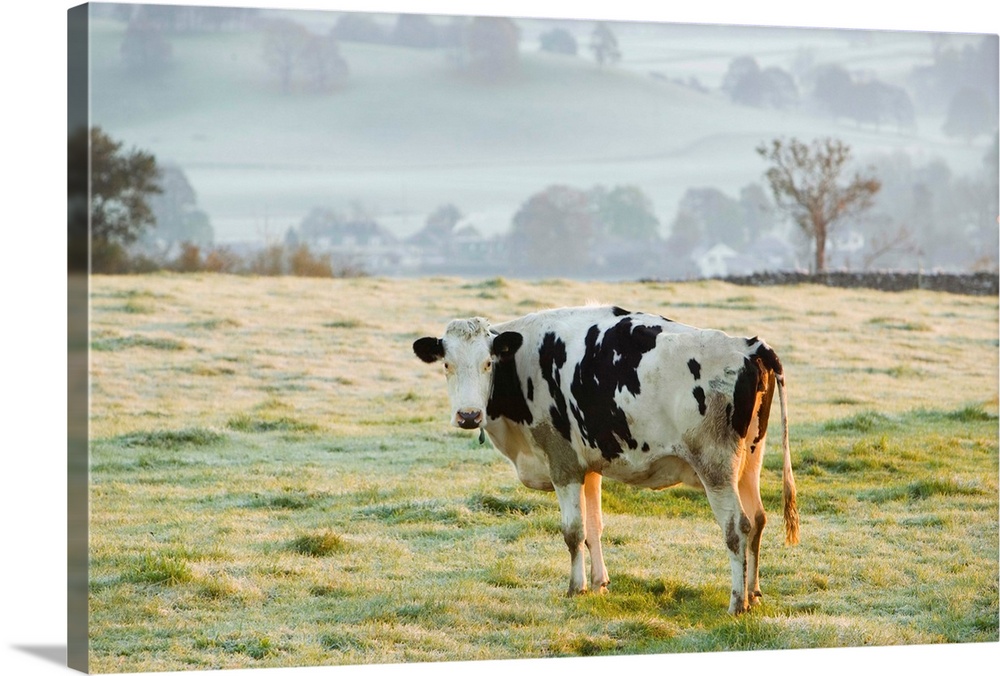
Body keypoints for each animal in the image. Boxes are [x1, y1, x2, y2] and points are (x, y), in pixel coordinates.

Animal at [412, 304, 796, 616]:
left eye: (487, 363)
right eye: (446, 364)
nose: (468, 415)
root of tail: (748, 345)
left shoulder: (563, 463)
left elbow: (573, 531)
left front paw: (575, 588)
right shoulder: (590, 466)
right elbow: (594, 528)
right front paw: (598, 583)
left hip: (715, 466)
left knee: (736, 527)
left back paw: (737, 602)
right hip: (749, 461)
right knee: (758, 519)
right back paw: (753, 592)